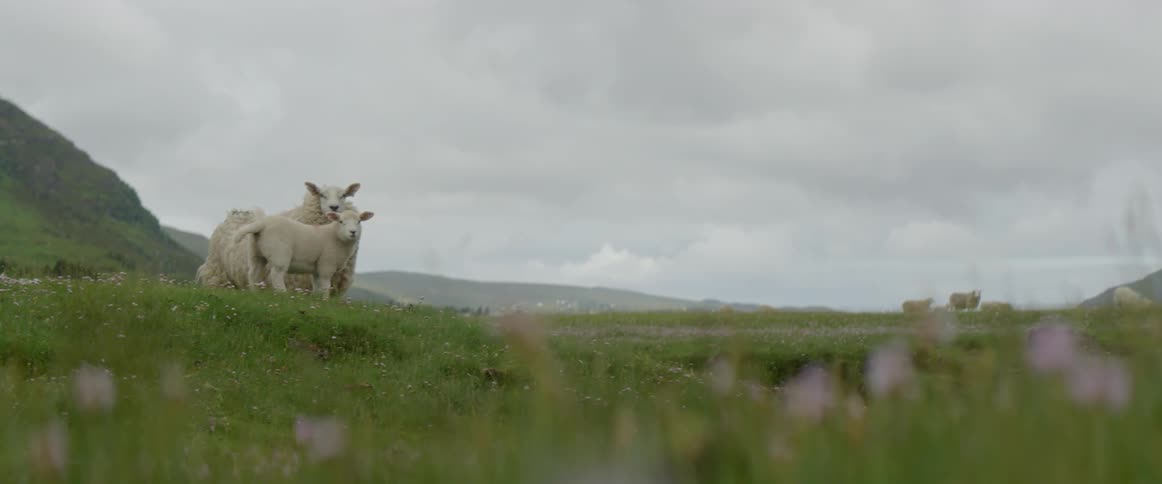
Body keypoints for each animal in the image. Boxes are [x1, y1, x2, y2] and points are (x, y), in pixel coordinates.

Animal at [232, 209, 374, 296]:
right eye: (341, 221)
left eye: (359, 221)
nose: (353, 232)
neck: (335, 236)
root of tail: (262, 224)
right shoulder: (326, 264)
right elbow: (325, 284)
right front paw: (325, 299)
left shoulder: (317, 268)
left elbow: (317, 285)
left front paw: (316, 299)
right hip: (280, 253)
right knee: (276, 274)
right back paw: (283, 294)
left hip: (255, 253)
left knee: (252, 273)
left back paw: (254, 292)